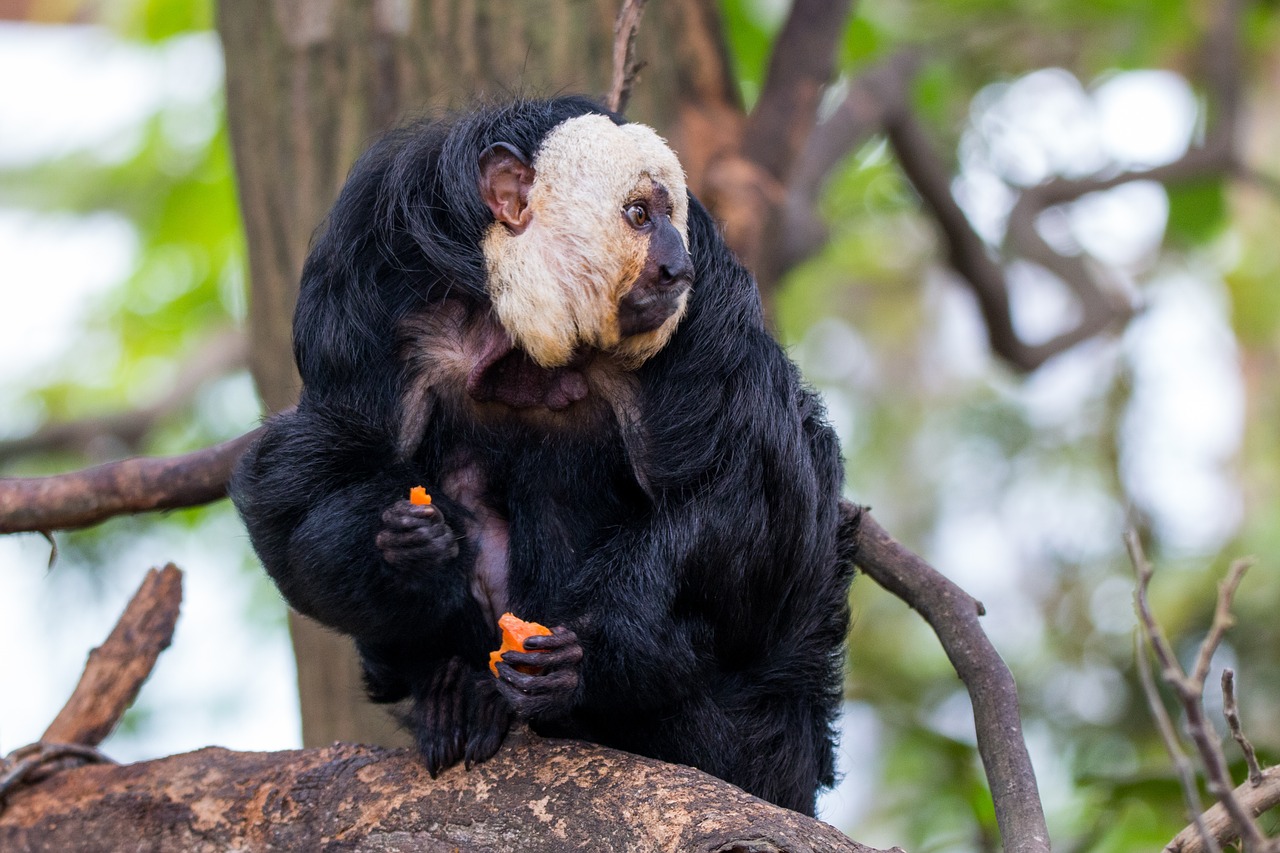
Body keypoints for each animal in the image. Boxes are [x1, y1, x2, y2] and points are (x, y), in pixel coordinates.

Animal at [232, 96, 849, 814]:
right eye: (640, 215)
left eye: (672, 219)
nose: (677, 267)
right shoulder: (364, 298)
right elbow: (306, 480)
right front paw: (402, 548)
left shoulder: (712, 319)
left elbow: (746, 500)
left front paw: (580, 665)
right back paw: (456, 690)